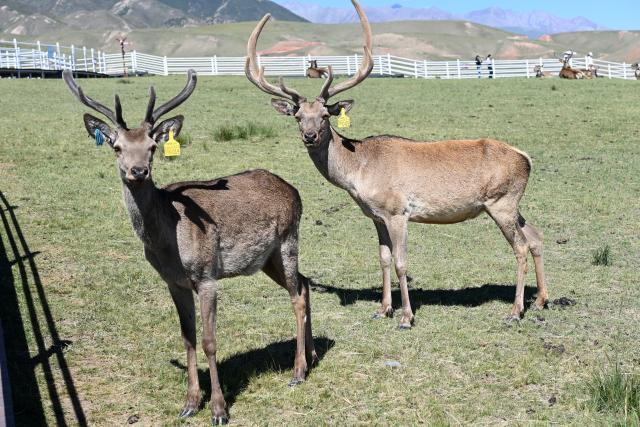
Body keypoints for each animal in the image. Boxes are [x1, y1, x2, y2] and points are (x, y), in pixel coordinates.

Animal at [62, 69, 316, 425]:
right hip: (266, 259)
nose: (138, 171)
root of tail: (293, 189)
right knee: (305, 283)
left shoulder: (207, 276)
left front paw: (219, 409)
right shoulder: (174, 282)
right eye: (117, 147)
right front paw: (190, 403)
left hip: (288, 240)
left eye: (153, 146)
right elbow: (188, 338)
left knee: (297, 295)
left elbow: (210, 341)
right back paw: (313, 355)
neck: (169, 243)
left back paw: (298, 371)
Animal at [245, 0, 548, 329]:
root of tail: (526, 159)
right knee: (535, 237)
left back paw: (516, 310)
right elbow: (384, 258)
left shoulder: (398, 212)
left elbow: (402, 263)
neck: (359, 171)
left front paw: (406, 316)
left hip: (501, 202)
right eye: (299, 117)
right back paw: (541, 300)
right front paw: (383, 308)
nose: (310, 136)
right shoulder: (376, 216)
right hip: (512, 204)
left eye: (325, 116)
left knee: (520, 246)